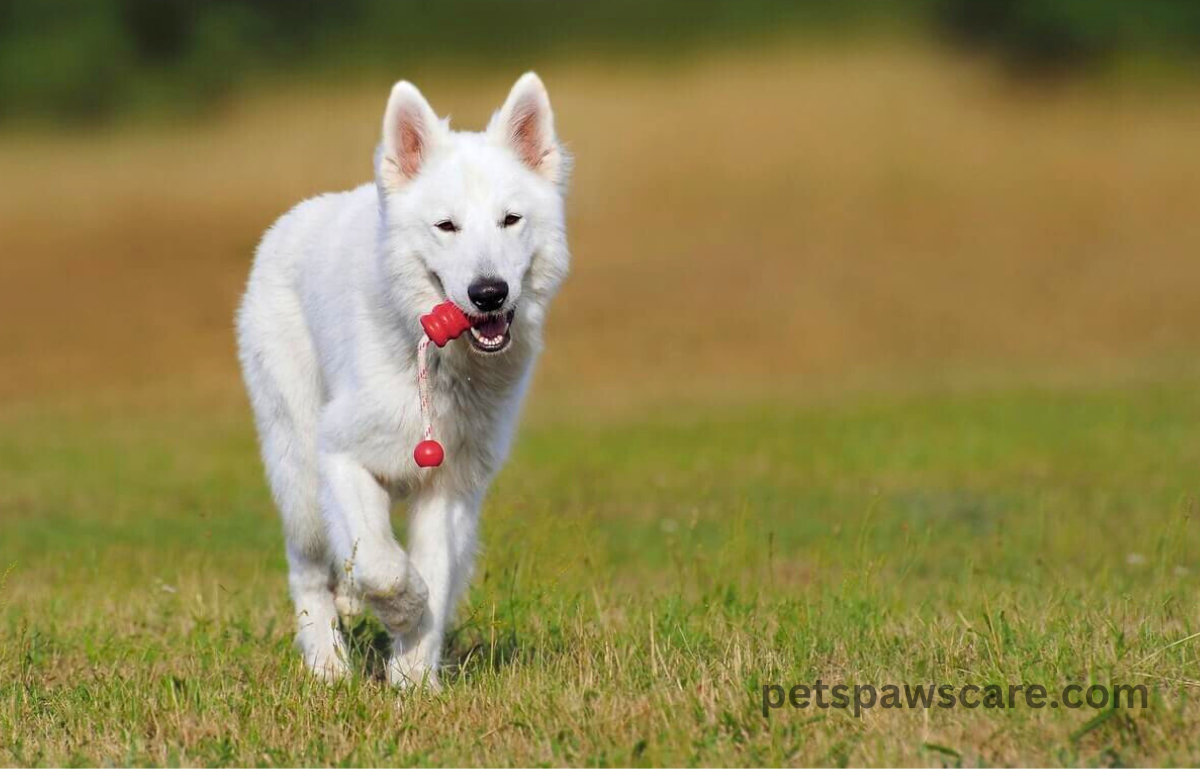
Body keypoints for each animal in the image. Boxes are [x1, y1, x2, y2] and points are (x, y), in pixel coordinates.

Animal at [238, 70, 571, 681]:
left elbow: (433, 571)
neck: (438, 364)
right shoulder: (340, 455)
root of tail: (291, 220)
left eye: (510, 220)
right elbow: (382, 564)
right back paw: (327, 666)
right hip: (298, 472)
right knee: (308, 569)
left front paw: (413, 677)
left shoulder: (450, 487)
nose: (489, 293)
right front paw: (402, 611)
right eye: (446, 226)